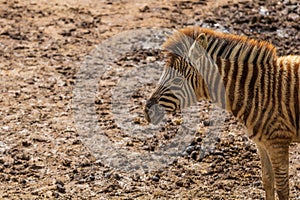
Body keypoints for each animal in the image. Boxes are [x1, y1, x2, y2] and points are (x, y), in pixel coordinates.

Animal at [144, 27, 298, 200]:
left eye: (177, 81)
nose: (147, 111)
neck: (257, 90)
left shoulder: (278, 142)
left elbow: (282, 188)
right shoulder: (262, 143)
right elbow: (268, 181)